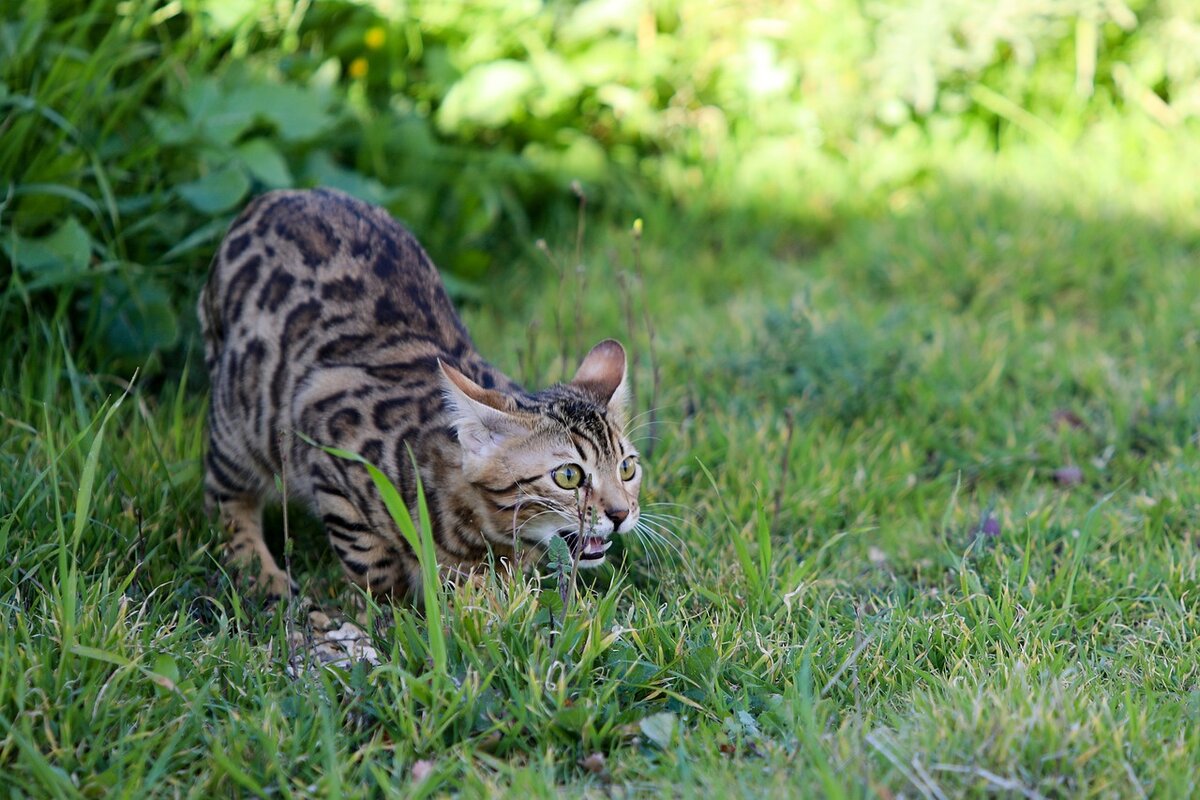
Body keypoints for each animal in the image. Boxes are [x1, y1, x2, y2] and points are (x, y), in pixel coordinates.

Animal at [201, 189, 643, 599]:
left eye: (627, 468)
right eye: (568, 476)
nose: (621, 513)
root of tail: (278, 196)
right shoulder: (326, 445)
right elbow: (370, 560)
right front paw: (390, 608)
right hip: (239, 422)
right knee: (226, 500)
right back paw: (262, 574)